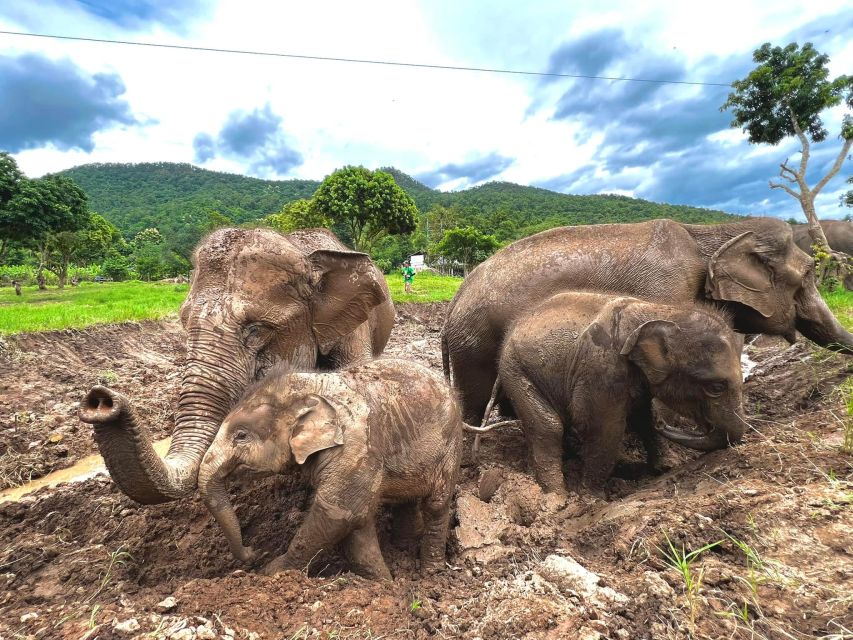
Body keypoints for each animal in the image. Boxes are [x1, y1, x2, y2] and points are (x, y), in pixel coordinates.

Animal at [196, 360, 462, 580]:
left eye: (241, 435)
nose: (254, 550)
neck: (310, 386)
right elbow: (358, 521)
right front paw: (380, 581)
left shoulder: (355, 449)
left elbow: (339, 513)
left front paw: (271, 573)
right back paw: (403, 546)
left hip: (449, 447)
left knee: (437, 505)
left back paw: (430, 572)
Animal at [442, 218, 852, 422]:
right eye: (809, 274)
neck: (707, 232)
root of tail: (456, 297)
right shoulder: (667, 290)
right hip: (473, 342)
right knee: (475, 397)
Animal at [496, 290, 744, 496]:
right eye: (716, 387)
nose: (663, 423)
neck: (660, 311)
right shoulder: (602, 370)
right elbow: (605, 427)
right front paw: (591, 497)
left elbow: (642, 417)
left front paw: (667, 467)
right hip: (516, 370)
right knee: (548, 427)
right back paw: (557, 497)